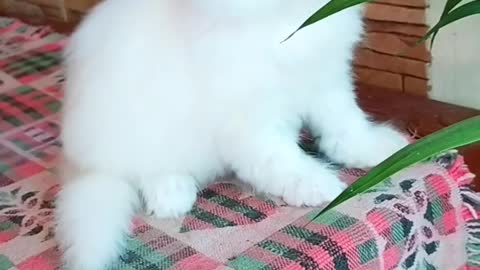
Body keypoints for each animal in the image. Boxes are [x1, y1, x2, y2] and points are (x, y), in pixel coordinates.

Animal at [56, 1, 408, 268]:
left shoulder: (327, 83)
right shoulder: (250, 122)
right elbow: (281, 160)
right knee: (145, 170)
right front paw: (316, 185)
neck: (284, 20)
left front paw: (381, 150)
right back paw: (172, 195)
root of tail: (83, 160)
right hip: (141, 130)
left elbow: (345, 126)